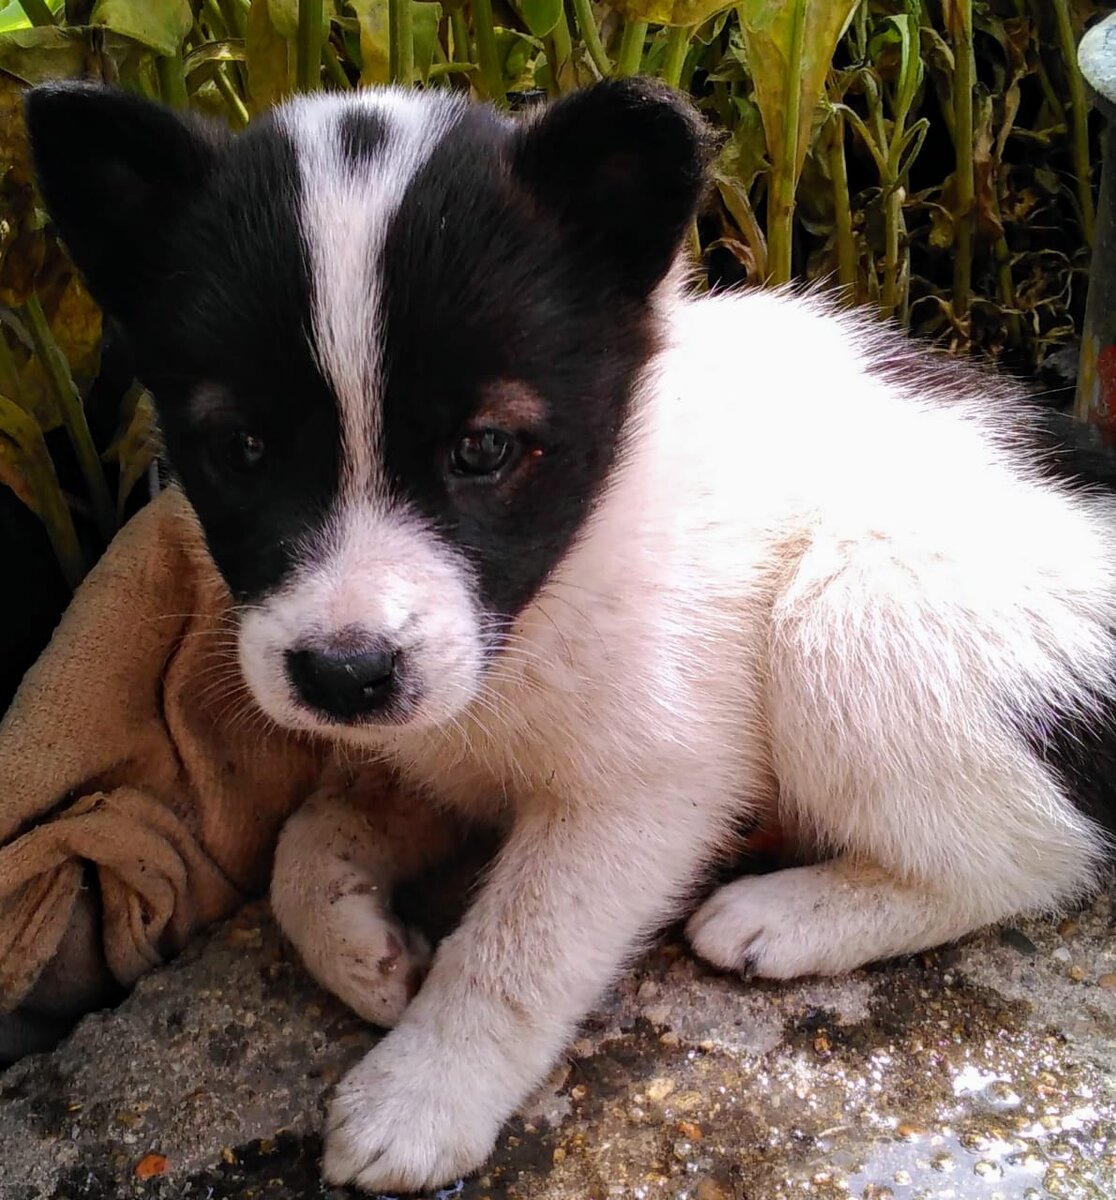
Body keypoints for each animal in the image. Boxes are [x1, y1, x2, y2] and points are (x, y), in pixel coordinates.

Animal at [26, 77, 1113, 1190]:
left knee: (1025, 857)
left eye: (485, 448)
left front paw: (424, 1092)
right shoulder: (437, 748)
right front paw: (360, 946)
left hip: (858, 614)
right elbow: (310, 835)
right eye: (240, 449)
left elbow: (518, 943)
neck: (559, 579)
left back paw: (791, 915)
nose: (343, 676)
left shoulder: (646, 784)